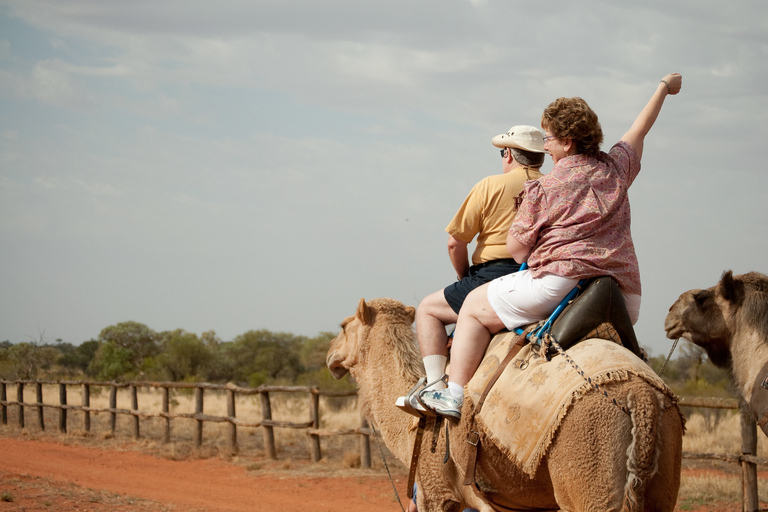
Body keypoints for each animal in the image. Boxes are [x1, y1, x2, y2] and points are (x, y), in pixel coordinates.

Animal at [328, 298, 684, 510]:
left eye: (344, 327)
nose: (331, 355)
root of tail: (641, 395)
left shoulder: (439, 492)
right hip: (661, 477)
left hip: (591, 467)